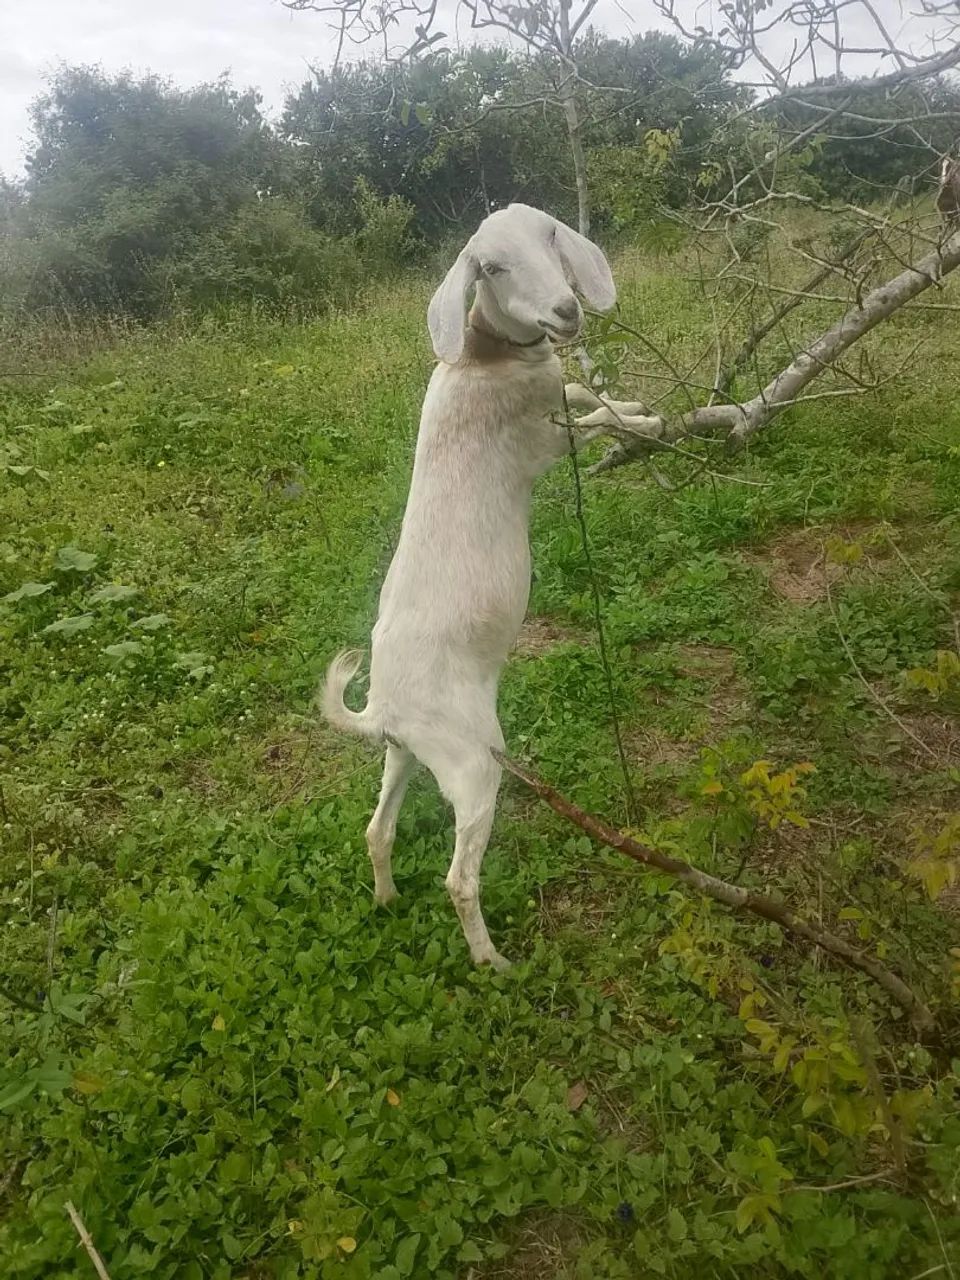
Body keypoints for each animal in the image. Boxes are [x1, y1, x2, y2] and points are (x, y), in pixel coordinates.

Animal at [323, 203, 644, 969]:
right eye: (490, 266)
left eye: (552, 236)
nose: (565, 311)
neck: (484, 359)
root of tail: (381, 708)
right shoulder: (544, 442)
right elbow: (597, 415)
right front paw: (650, 422)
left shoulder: (553, 398)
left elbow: (589, 391)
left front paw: (641, 402)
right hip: (473, 767)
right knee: (459, 878)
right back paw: (492, 962)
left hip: (404, 755)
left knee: (376, 830)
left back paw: (386, 899)